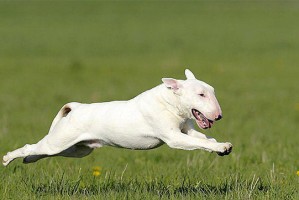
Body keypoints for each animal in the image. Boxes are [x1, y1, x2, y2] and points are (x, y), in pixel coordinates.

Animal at [2, 69, 234, 166]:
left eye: (212, 91)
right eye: (201, 94)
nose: (219, 115)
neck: (170, 102)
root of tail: (76, 108)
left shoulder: (187, 129)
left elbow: (202, 139)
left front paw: (222, 145)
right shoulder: (173, 137)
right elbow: (197, 143)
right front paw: (221, 147)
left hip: (78, 149)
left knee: (40, 152)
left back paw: (29, 160)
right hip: (59, 141)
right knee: (32, 146)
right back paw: (8, 158)